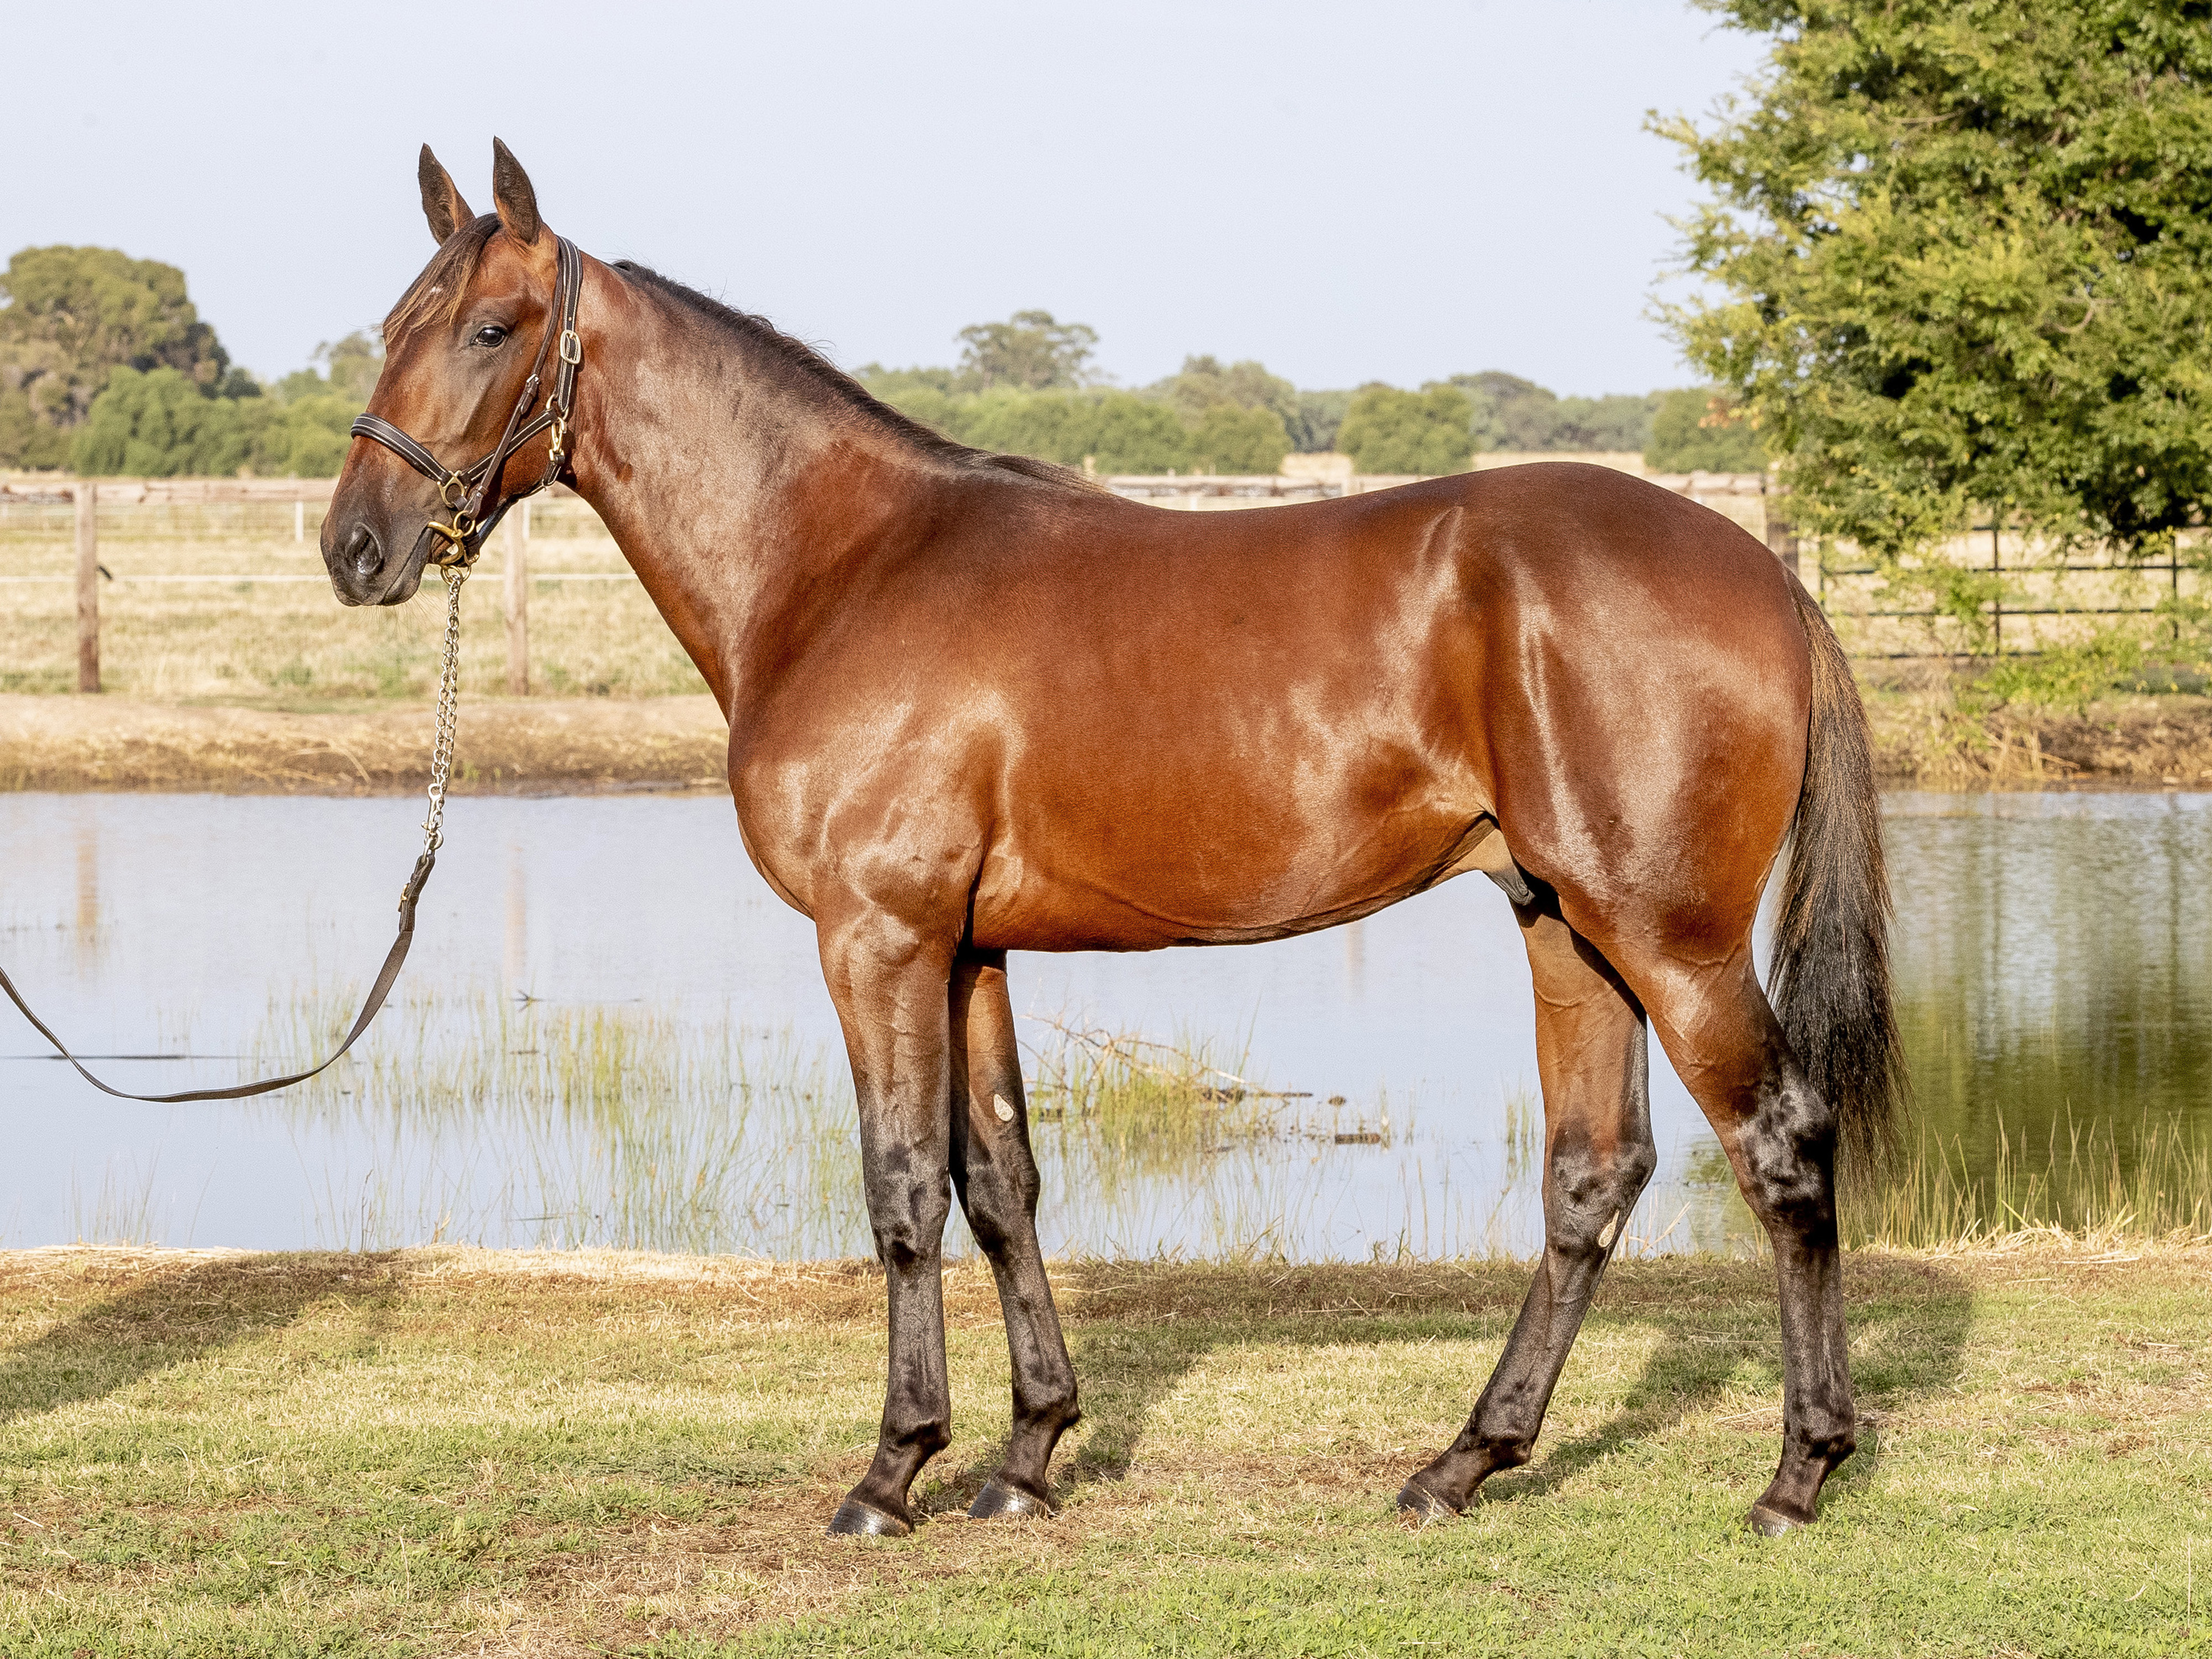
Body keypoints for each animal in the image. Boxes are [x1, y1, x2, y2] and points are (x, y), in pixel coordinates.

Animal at [325, 140, 1907, 1540]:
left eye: (489, 327)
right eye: (390, 325)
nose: (355, 547)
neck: (838, 567)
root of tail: (1765, 575)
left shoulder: (877, 939)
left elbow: (901, 1188)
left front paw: (891, 1470)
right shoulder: (967, 949)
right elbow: (998, 1182)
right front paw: (1026, 1455)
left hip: (1668, 939)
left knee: (1778, 1145)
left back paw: (1795, 1474)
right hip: (1561, 923)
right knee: (1592, 1175)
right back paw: (1462, 1464)